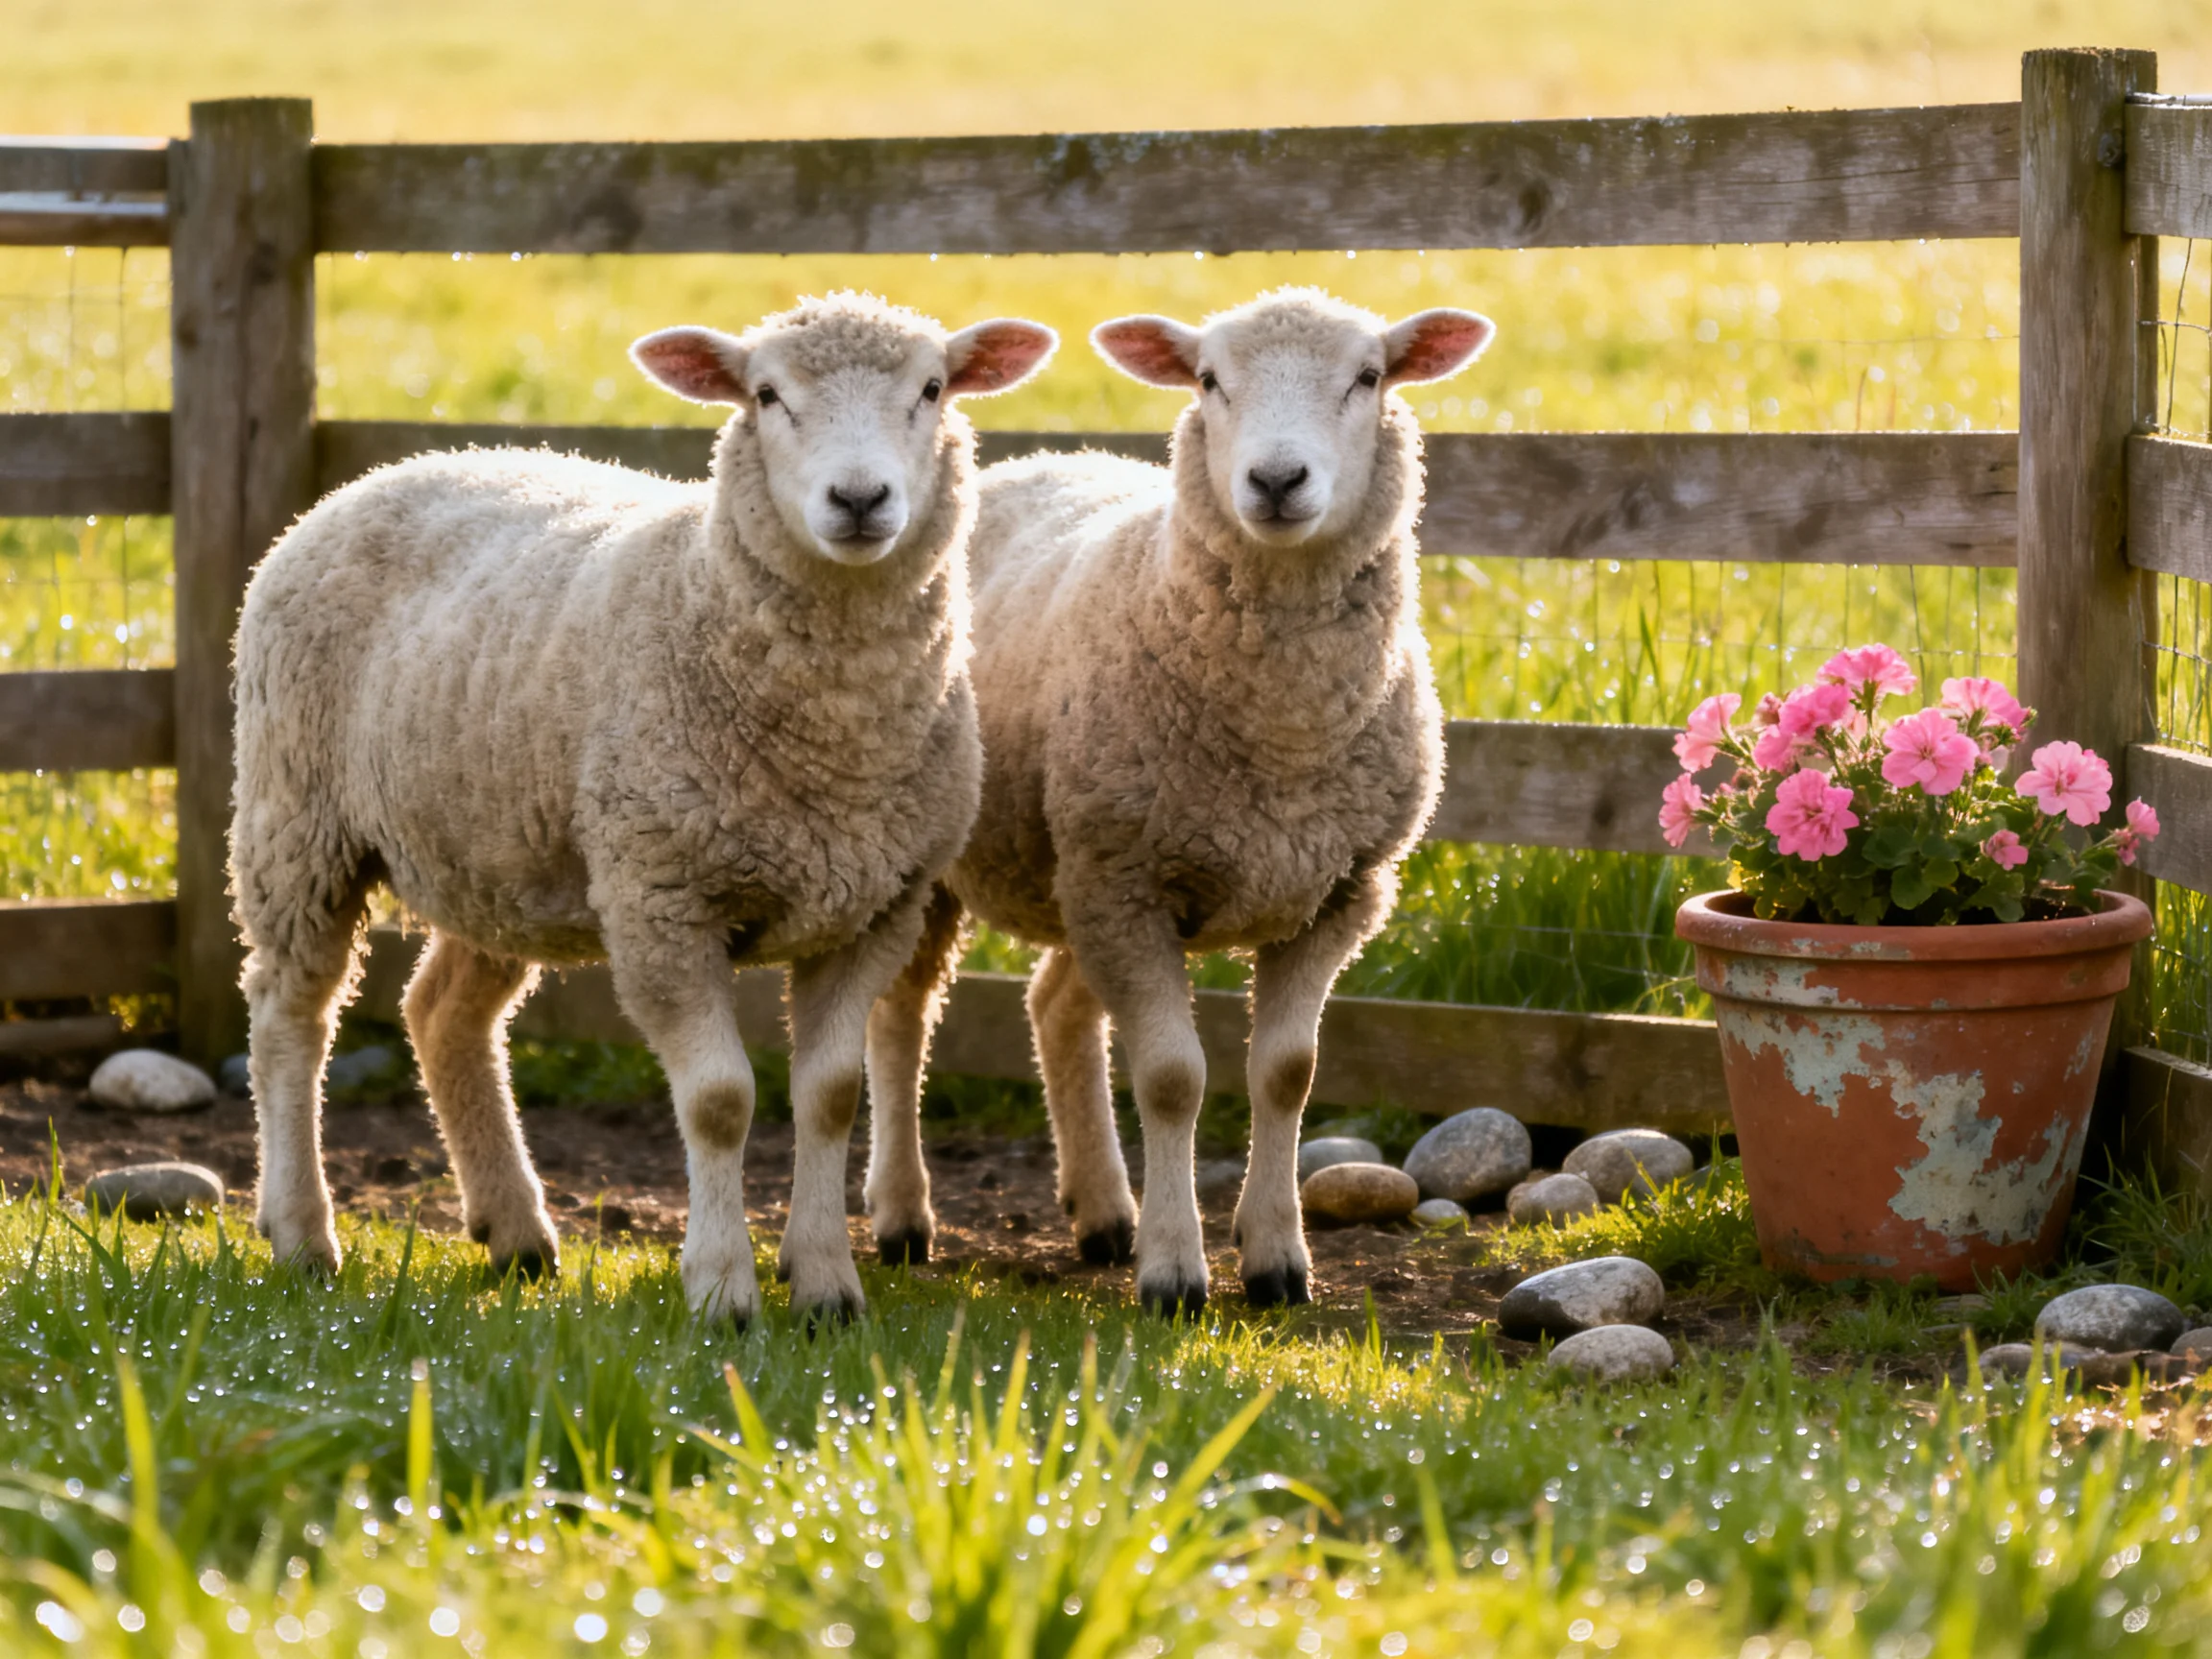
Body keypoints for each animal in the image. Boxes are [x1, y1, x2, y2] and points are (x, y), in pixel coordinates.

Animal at [230, 292, 1056, 1324]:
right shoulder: (663, 900)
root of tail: (379, 475)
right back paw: (302, 1234)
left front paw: (826, 1287)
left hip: (501, 854)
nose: (861, 500)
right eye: (766, 394)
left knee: (441, 1012)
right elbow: (719, 1100)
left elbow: (829, 1095)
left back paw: (515, 1234)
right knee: (289, 1015)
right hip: (298, 821)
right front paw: (723, 1292)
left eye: (933, 388)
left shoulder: (873, 907)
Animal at [862, 287, 1494, 1314]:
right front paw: (1173, 1274)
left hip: (1082, 866)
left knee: (1055, 1008)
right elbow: (1169, 1079)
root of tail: (1035, 461)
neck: (1284, 732)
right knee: (902, 1018)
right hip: (997, 864)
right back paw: (903, 1217)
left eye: (1368, 377)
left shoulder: (1337, 893)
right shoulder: (1132, 886)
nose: (1276, 480)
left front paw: (1276, 1260)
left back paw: (1101, 1214)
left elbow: (1286, 1075)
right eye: (1208, 379)